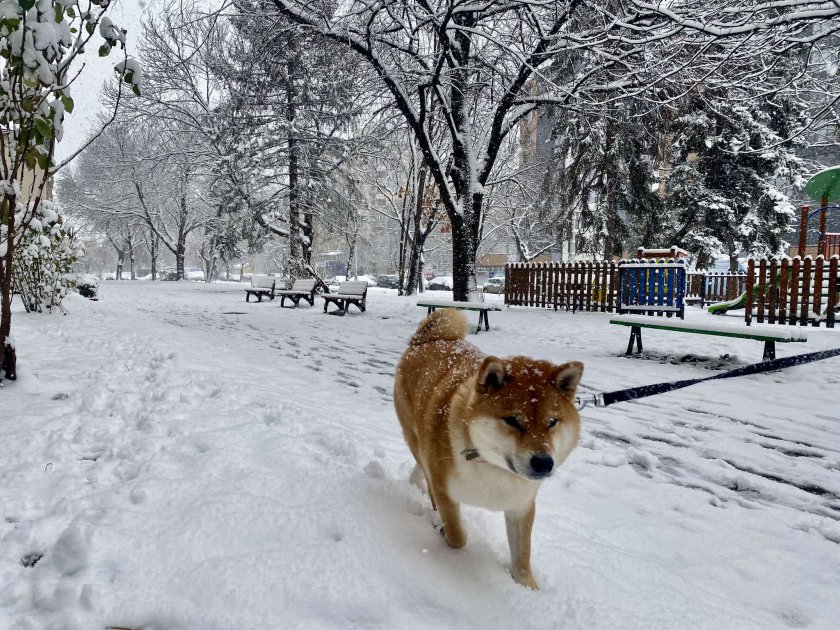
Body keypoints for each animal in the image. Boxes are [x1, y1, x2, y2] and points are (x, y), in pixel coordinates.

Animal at [396, 312, 584, 592]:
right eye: (513, 421)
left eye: (552, 422)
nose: (543, 463)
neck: (493, 465)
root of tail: (428, 339)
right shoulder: (445, 491)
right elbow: (457, 536)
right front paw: (442, 531)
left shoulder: (521, 506)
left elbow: (522, 558)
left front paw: (528, 589)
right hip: (413, 432)